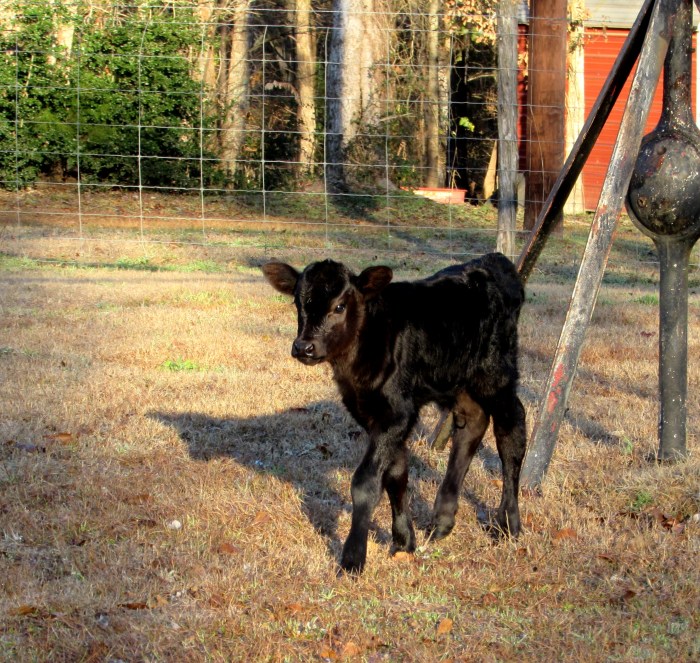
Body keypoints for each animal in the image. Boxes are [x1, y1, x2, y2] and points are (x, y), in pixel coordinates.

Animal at [262, 252, 526, 574]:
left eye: (339, 306)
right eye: (298, 303)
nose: (304, 347)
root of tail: (495, 260)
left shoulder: (397, 412)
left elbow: (365, 483)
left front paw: (352, 558)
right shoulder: (371, 414)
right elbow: (396, 474)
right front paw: (403, 541)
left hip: (496, 372)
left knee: (511, 431)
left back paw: (508, 524)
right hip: (459, 378)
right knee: (472, 425)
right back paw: (442, 521)